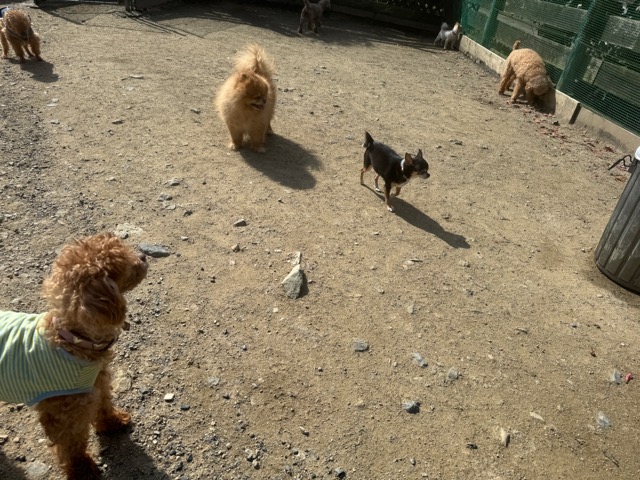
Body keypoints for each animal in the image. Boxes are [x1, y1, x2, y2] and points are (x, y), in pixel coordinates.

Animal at [0, 233, 148, 479]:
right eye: (123, 264)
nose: (144, 256)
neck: (73, 341)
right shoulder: (63, 412)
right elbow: (72, 444)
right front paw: (82, 468)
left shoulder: (97, 382)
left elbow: (104, 405)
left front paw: (113, 422)